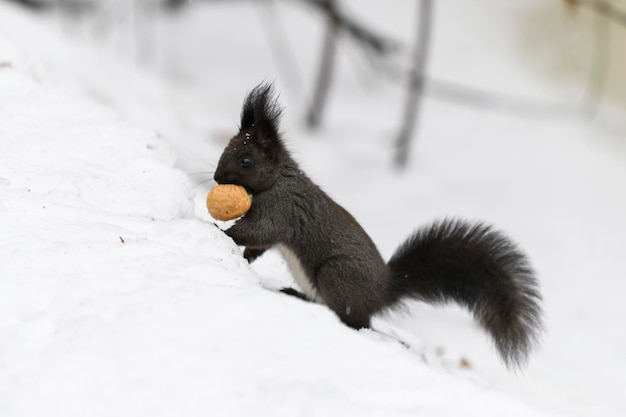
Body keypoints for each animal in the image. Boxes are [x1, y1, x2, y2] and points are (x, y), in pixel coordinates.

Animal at [211, 82, 540, 368]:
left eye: (245, 161)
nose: (215, 177)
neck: (278, 178)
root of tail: (384, 291)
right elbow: (258, 244)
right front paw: (238, 253)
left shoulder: (282, 208)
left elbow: (259, 230)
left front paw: (219, 231)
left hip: (337, 274)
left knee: (355, 322)